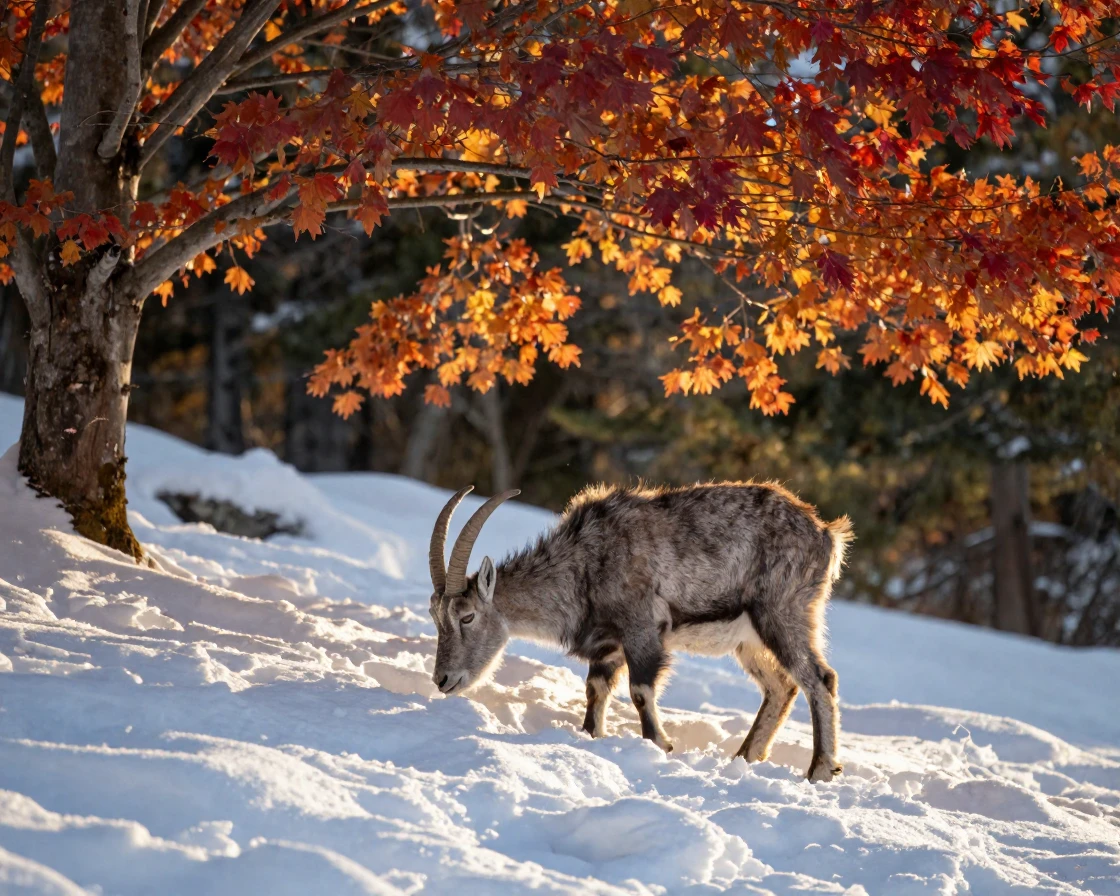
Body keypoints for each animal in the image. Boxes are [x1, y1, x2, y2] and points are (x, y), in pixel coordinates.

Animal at [427, 482, 853, 782]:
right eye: (434, 614)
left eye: (467, 616)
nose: (443, 679)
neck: (585, 564)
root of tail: (827, 535)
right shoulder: (608, 646)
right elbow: (595, 691)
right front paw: (593, 738)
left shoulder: (641, 628)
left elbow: (640, 691)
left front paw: (661, 746)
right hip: (748, 639)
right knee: (782, 686)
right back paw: (745, 757)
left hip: (782, 613)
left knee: (819, 678)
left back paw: (820, 769)